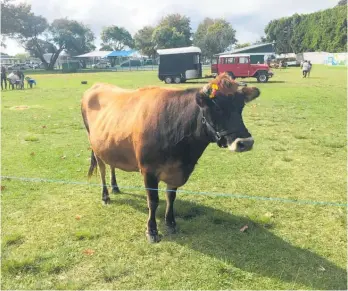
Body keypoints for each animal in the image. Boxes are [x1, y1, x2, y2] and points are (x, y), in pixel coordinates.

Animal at [81, 73, 260, 244]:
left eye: (241, 106)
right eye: (216, 107)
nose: (245, 142)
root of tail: (97, 85)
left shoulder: (176, 171)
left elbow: (171, 196)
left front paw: (170, 222)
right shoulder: (148, 171)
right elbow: (153, 201)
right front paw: (152, 231)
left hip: (109, 144)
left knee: (112, 164)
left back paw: (115, 187)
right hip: (94, 145)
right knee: (102, 170)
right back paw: (105, 196)